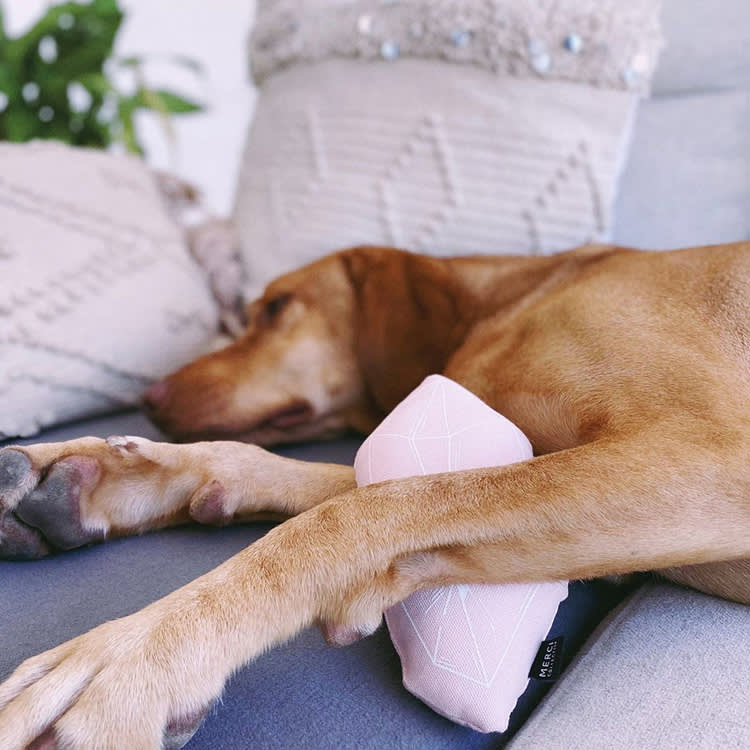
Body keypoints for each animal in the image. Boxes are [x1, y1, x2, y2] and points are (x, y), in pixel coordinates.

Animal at [1, 244, 750, 748]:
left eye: (277, 307)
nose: (148, 400)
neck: (510, 297)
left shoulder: (705, 453)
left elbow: (357, 512)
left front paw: (132, 658)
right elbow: (314, 479)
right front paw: (111, 480)